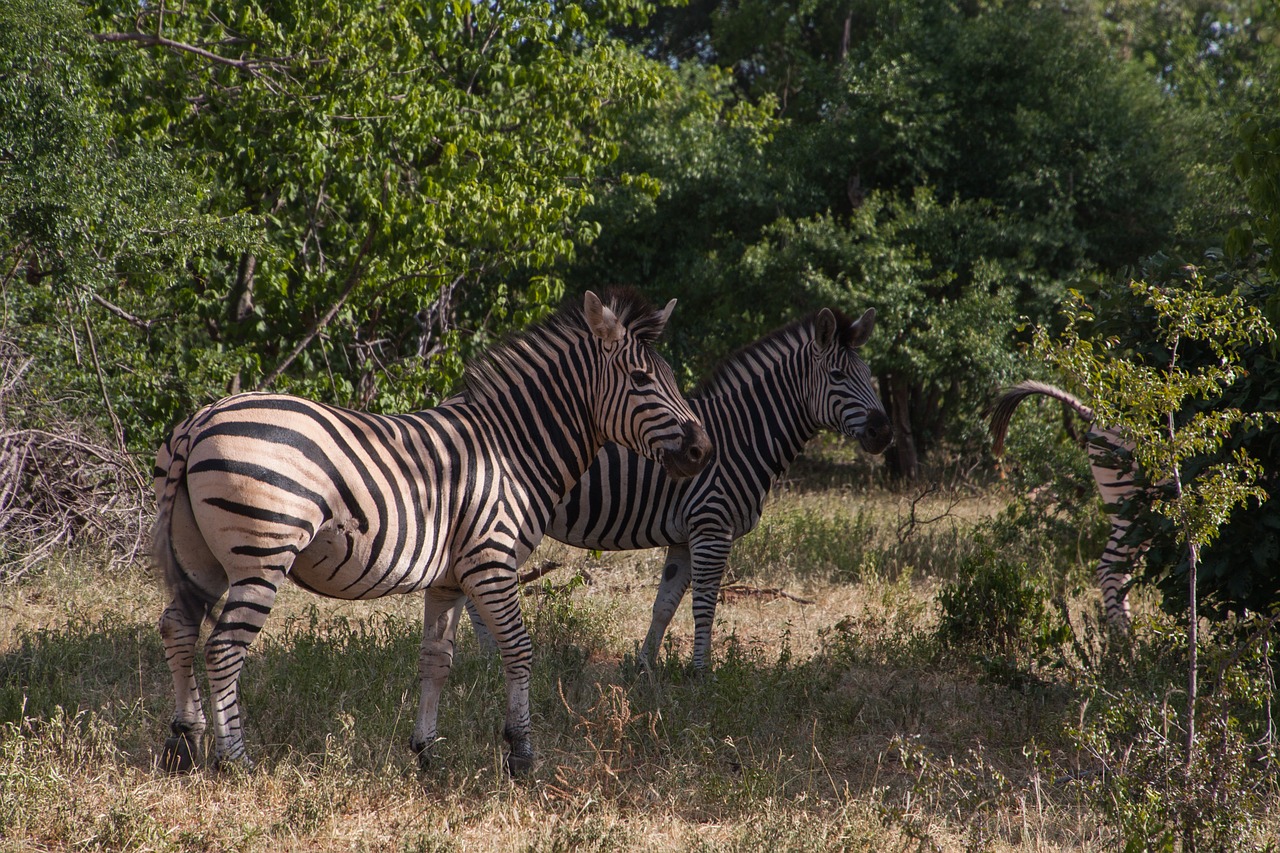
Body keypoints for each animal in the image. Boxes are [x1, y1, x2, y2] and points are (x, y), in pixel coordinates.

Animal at [151, 289, 716, 773]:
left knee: (178, 627)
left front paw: (426, 753)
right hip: (261, 555)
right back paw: (235, 761)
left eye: (669, 377)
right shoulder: (491, 561)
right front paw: (521, 754)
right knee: (224, 648)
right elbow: (519, 648)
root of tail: (202, 419)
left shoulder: (449, 580)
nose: (702, 451)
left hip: (200, 556)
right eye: (641, 380)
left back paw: (185, 743)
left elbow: (436, 660)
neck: (514, 451)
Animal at [471, 308, 890, 666]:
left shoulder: (686, 538)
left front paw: (644, 668)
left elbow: (665, 604)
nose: (882, 432)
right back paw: (486, 663)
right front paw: (701, 674)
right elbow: (704, 606)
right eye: (837, 375)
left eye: (869, 373)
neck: (742, 436)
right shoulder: (712, 527)